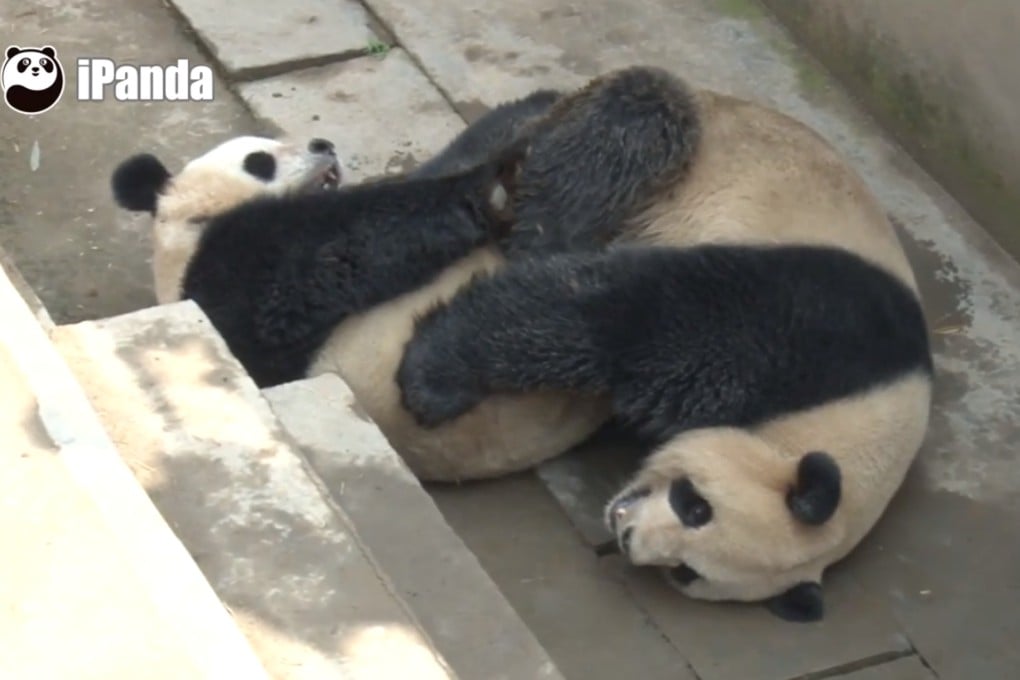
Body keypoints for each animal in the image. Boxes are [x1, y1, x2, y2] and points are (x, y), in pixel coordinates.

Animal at [393, 65, 934, 622]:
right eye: (694, 505)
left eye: (686, 571)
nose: (626, 534)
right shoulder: (817, 322)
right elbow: (646, 320)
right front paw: (437, 376)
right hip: (660, 136)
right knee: (625, 132)